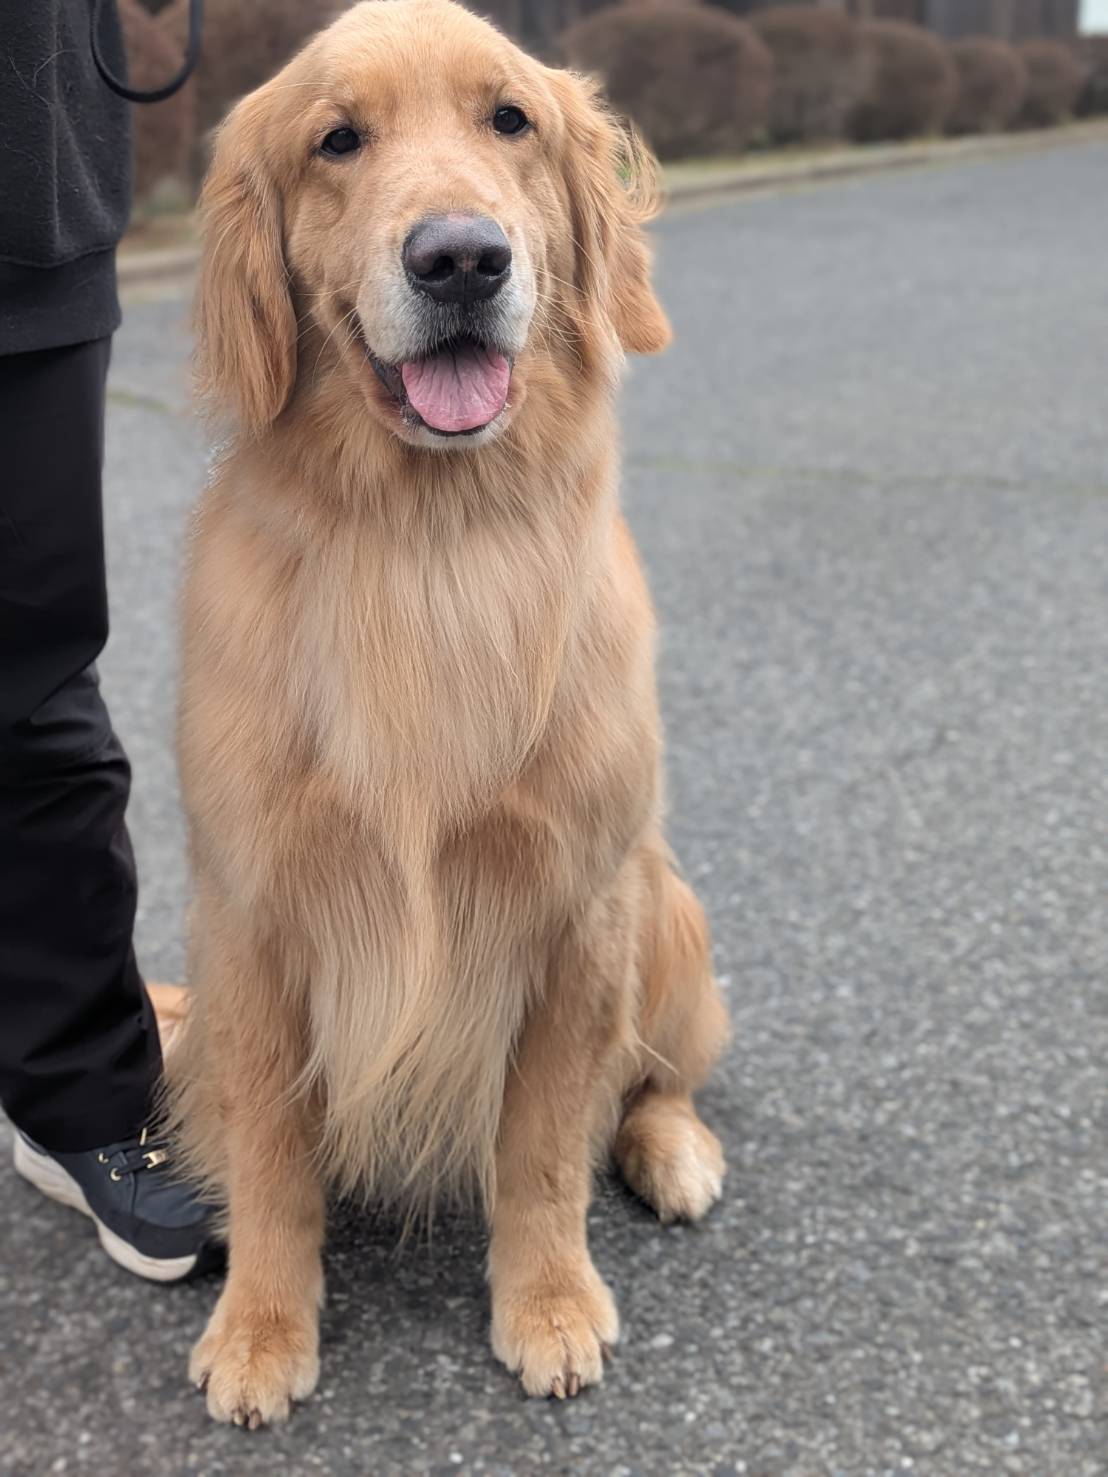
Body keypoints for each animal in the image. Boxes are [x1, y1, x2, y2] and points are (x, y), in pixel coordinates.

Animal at [172, 0, 729, 1427]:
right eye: (337, 141)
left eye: (509, 120)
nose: (462, 258)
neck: (425, 544)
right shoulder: (252, 911)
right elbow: (271, 1148)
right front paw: (261, 1324)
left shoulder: (574, 901)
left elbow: (542, 1143)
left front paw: (549, 1303)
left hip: (668, 902)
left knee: (656, 1076)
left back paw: (674, 1150)